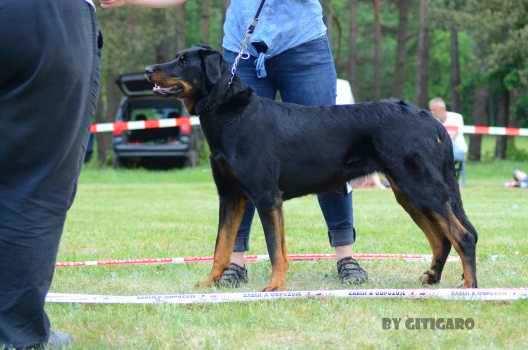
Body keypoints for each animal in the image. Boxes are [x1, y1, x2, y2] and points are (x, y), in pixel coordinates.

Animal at [145, 45, 478, 292]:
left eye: (183, 60)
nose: (148, 69)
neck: (230, 115)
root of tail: (429, 119)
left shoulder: (266, 196)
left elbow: (274, 248)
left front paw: (274, 287)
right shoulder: (230, 196)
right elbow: (222, 245)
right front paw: (209, 282)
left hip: (421, 185)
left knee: (463, 236)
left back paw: (469, 287)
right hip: (407, 191)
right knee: (441, 238)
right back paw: (432, 278)